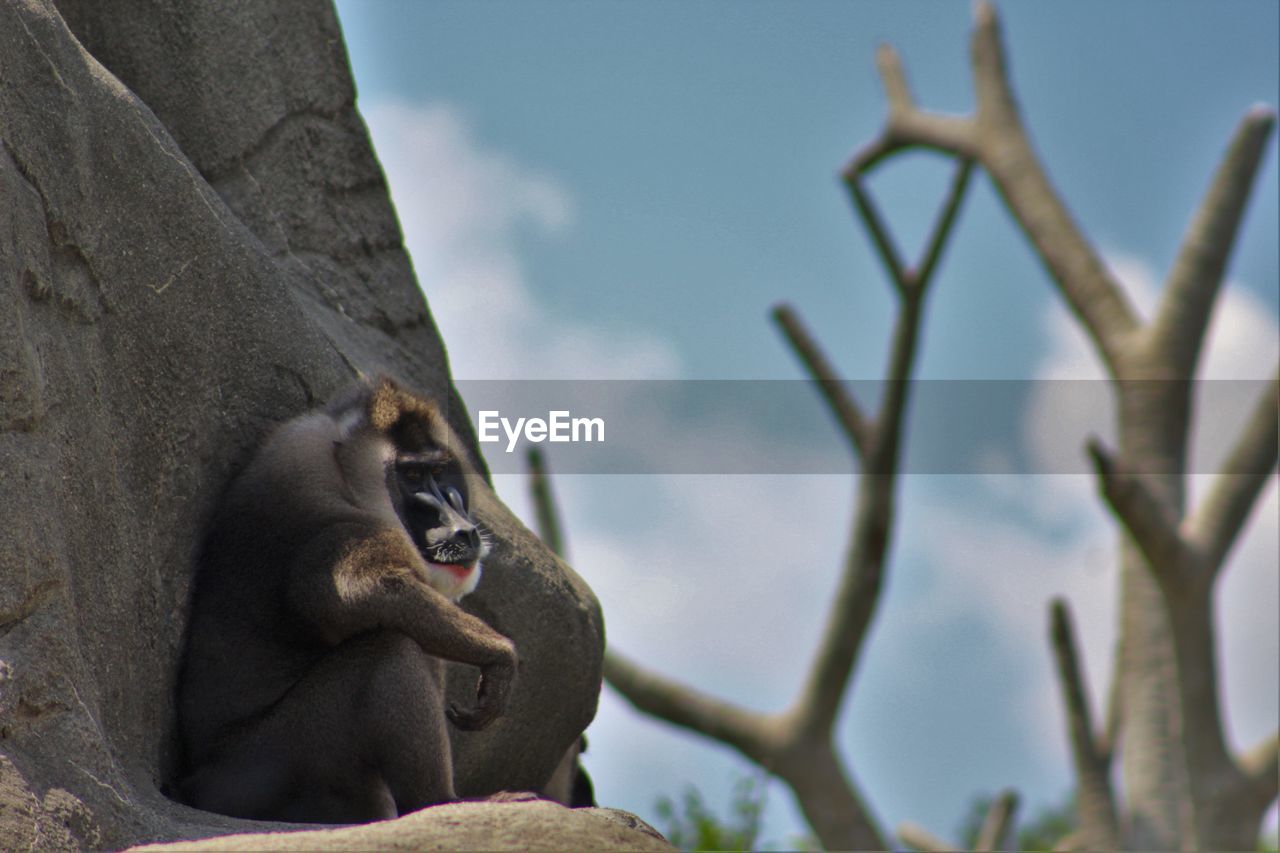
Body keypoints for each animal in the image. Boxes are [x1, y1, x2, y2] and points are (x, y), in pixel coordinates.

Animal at [172, 376, 517, 819]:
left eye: (440, 471)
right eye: (412, 475)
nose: (463, 529)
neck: (344, 470)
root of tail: (198, 785)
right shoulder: (347, 536)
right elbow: (360, 590)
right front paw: (500, 656)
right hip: (279, 757)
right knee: (391, 651)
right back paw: (441, 800)